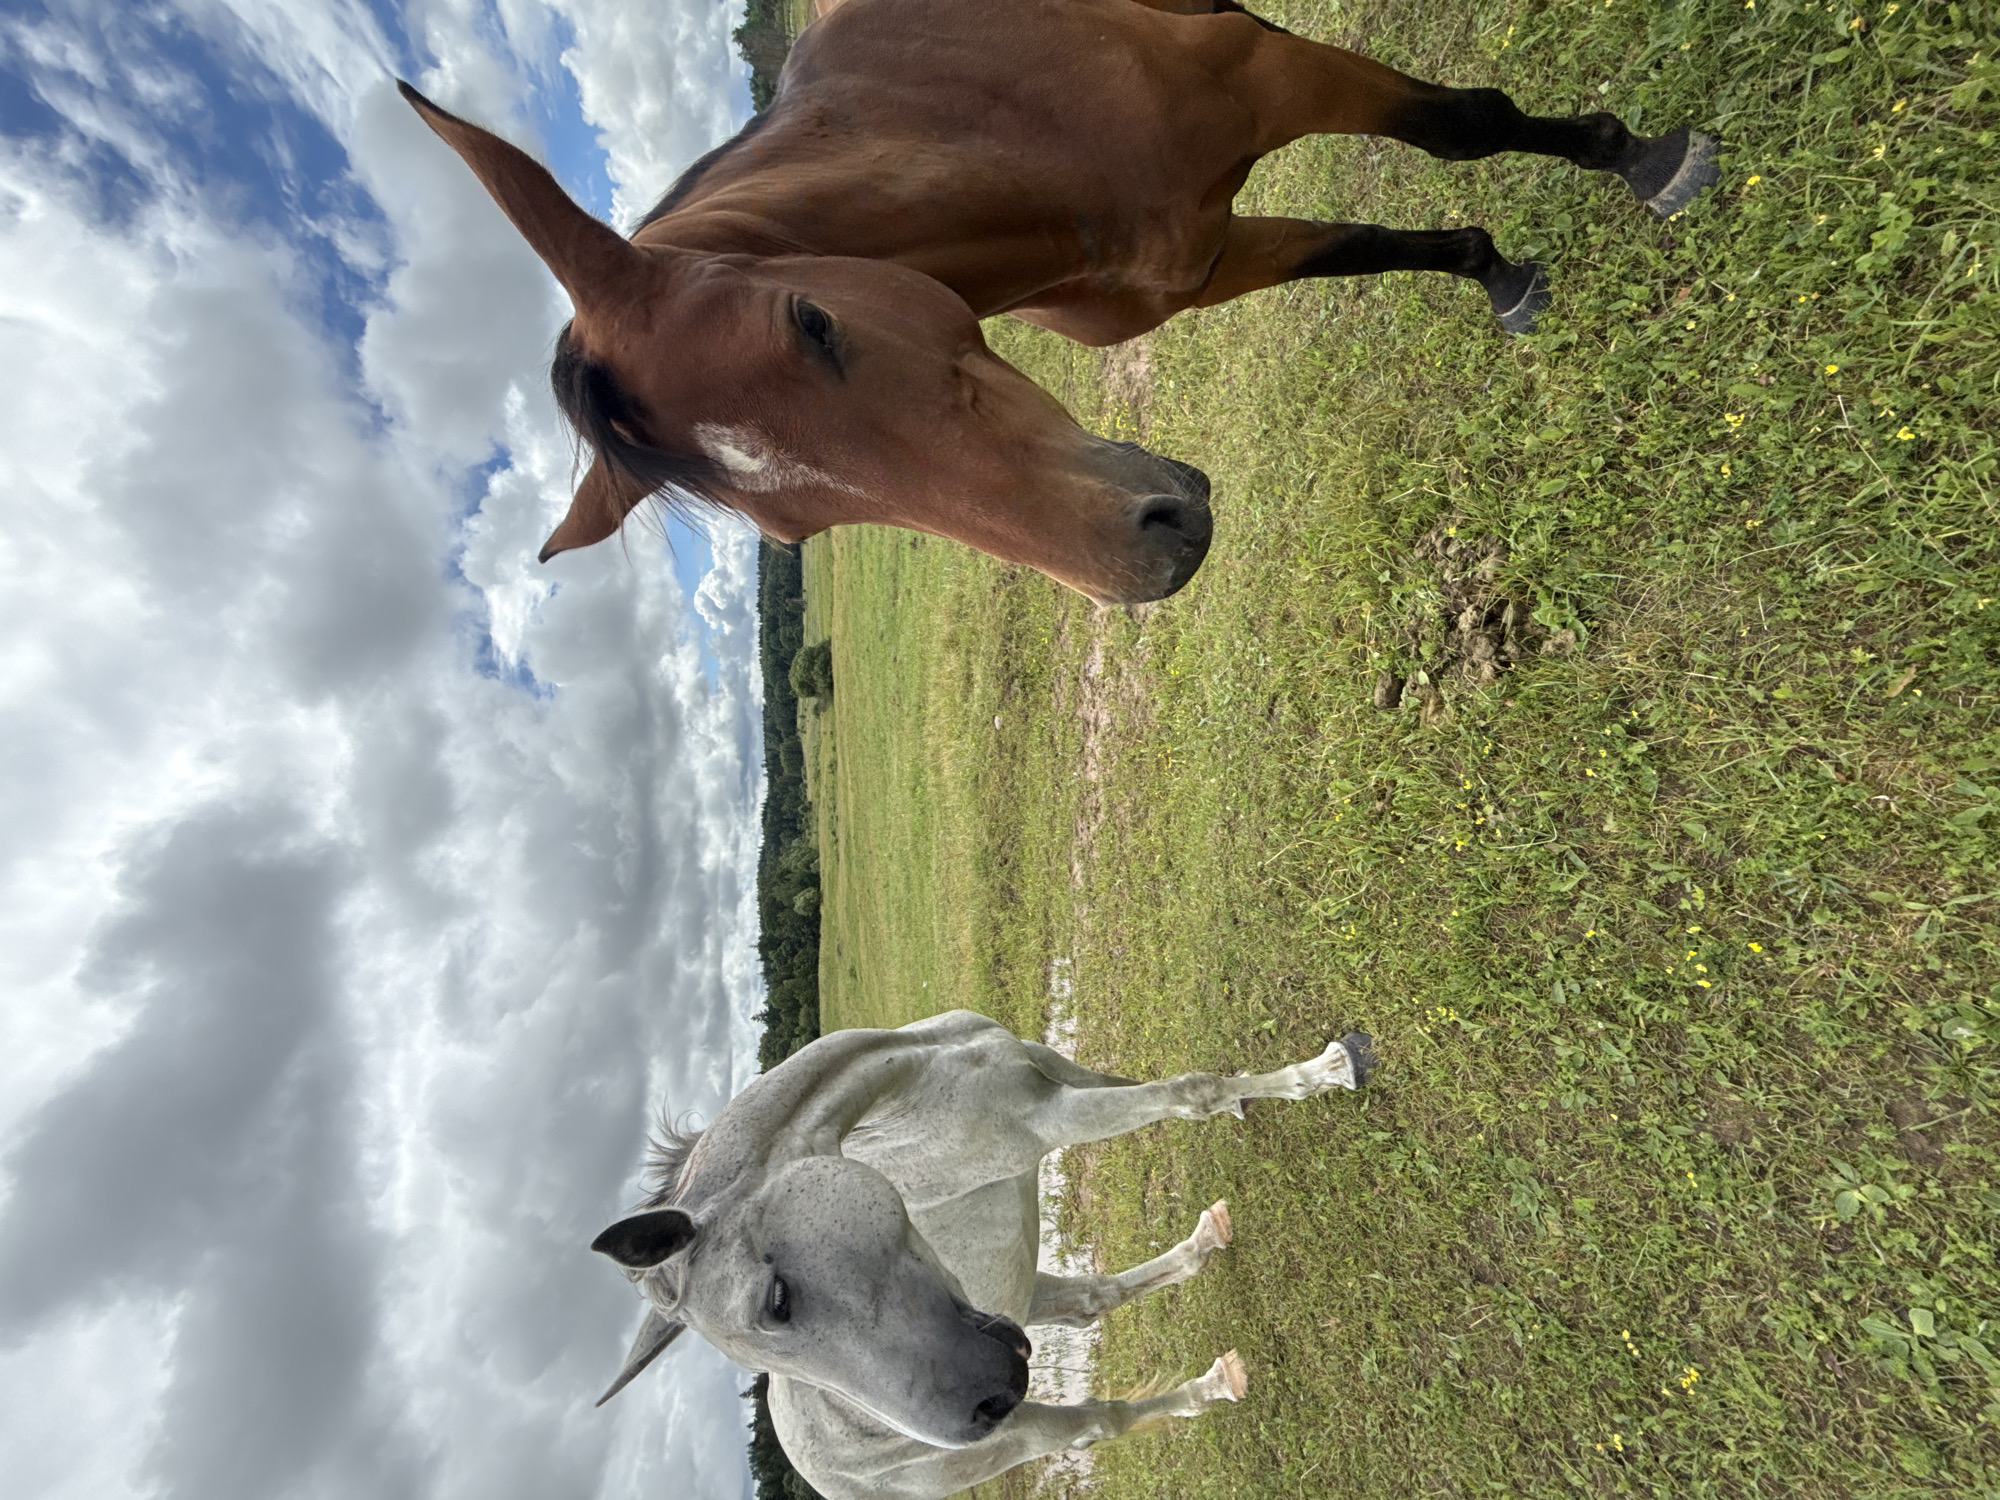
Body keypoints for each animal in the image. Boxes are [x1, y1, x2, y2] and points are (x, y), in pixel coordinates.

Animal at [400, 0, 1718, 603]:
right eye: (787, 532)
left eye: (811, 325)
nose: (1151, 551)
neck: (986, 127)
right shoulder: (1201, 260)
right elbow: (1368, 245)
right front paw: (1495, 271)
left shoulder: (1269, 74)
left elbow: (1462, 127)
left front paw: (1641, 159)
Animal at [589, 1009, 1377, 1498]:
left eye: (774, 1300)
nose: (978, 1405)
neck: (921, 1079)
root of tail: (829, 1475)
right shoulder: (1052, 1119)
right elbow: (1187, 1093)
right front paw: (1328, 1071)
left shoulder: (1053, 1065)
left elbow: (1160, 1086)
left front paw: (1267, 1093)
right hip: (1021, 1426)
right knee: (1097, 1424)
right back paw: (1211, 1387)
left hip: (1015, 1303)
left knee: (1091, 1304)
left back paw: (1206, 1243)